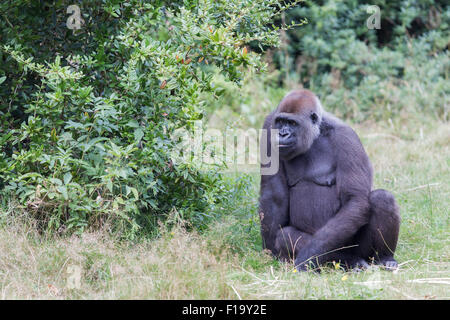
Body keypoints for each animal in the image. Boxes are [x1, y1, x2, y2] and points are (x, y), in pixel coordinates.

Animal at [260, 90, 400, 272]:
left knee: (383, 198)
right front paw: (270, 249)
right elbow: (274, 194)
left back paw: (384, 257)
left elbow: (355, 200)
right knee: (287, 236)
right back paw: (349, 260)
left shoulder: (346, 137)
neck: (316, 131)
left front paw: (307, 256)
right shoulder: (268, 125)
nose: (282, 134)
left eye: (292, 123)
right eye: (280, 121)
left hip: (360, 249)